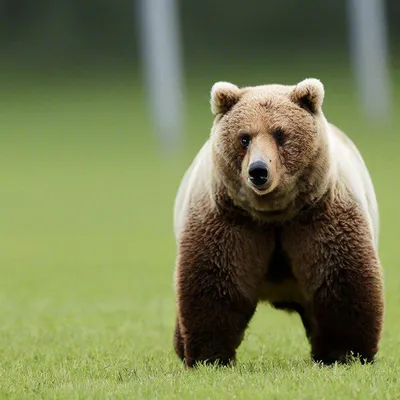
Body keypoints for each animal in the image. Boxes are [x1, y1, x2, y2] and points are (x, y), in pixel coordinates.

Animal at [172, 76, 384, 368]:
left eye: (280, 134)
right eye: (244, 138)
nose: (258, 171)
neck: (274, 213)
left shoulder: (318, 218)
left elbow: (340, 279)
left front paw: (346, 353)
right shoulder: (231, 221)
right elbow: (215, 282)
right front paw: (210, 356)